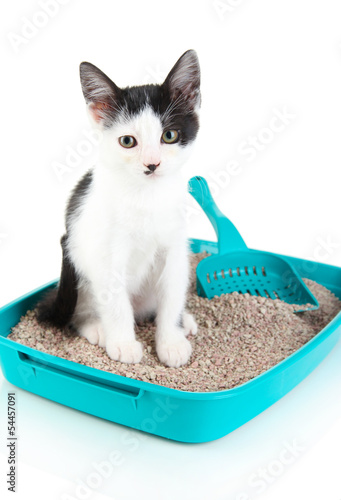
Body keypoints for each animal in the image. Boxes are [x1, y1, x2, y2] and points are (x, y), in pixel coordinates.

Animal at [37, 50, 199, 370]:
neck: (147, 196)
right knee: (82, 310)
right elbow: (115, 302)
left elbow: (172, 293)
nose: (152, 164)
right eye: (127, 141)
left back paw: (182, 321)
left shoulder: (175, 249)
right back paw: (97, 328)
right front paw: (123, 344)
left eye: (170, 136)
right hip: (76, 268)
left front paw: (170, 342)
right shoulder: (105, 254)